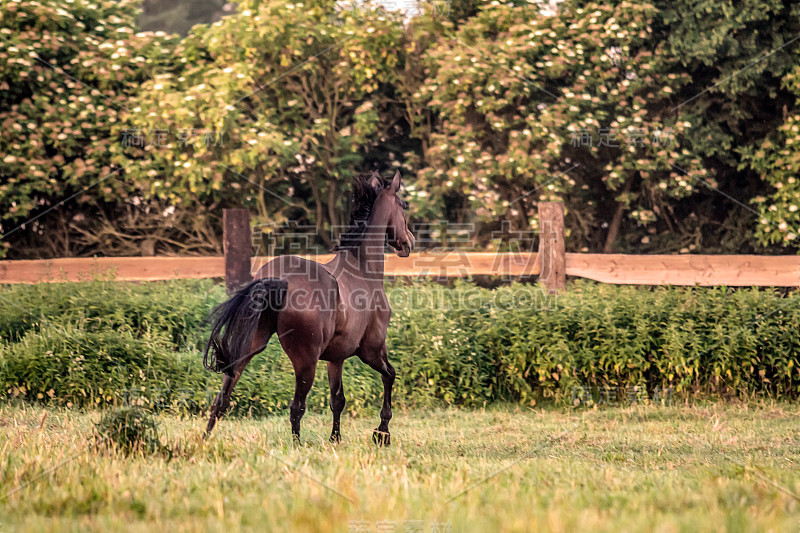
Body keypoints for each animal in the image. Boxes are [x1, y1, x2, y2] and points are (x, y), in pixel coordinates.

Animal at [202, 170, 412, 444]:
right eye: (403, 206)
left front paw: (335, 439)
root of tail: (279, 280)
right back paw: (297, 445)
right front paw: (382, 432)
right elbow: (390, 375)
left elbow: (338, 399)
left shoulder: (336, 358)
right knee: (297, 407)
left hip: (249, 346)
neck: (362, 269)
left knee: (222, 398)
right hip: (306, 361)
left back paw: (204, 441)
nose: (408, 243)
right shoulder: (372, 349)